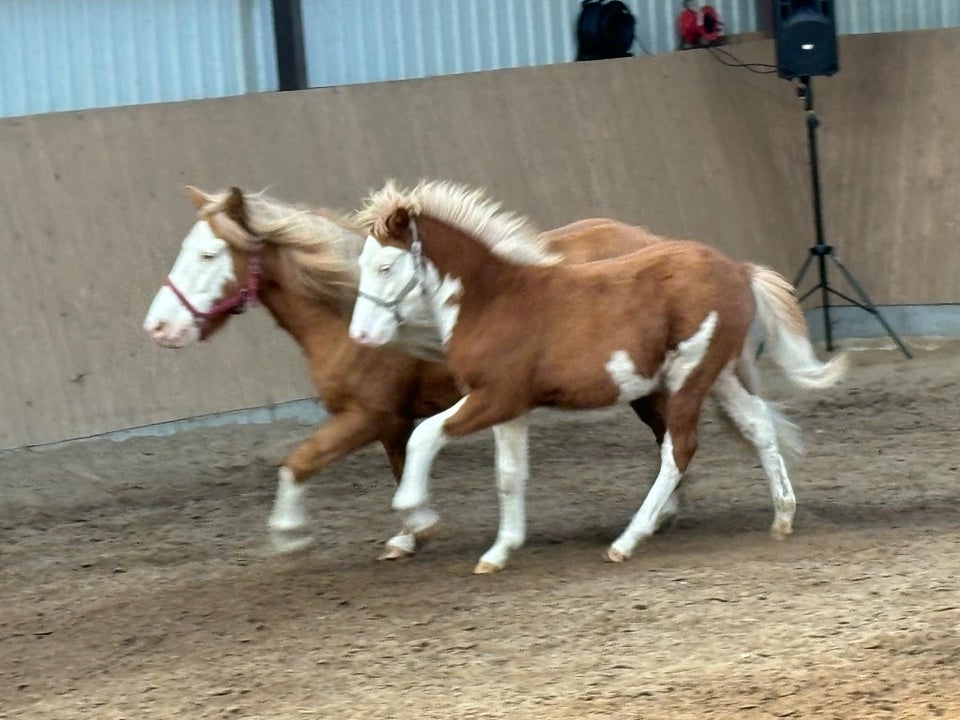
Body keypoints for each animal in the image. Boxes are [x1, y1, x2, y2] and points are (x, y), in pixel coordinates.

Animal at [142, 187, 676, 556]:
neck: (345, 310)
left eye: (209, 254)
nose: (158, 328)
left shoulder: (365, 416)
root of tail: (660, 243)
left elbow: (300, 460)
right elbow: (401, 469)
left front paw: (289, 534)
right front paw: (411, 532)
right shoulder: (394, 421)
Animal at [348, 180, 844, 572]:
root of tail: (738, 269)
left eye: (386, 266)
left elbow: (423, 436)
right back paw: (782, 517)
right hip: (718, 375)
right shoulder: (511, 408)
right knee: (758, 427)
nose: (361, 335)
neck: (491, 300)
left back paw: (627, 541)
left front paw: (416, 517)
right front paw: (499, 552)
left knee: (679, 447)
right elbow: (509, 475)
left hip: (690, 376)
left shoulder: (494, 397)